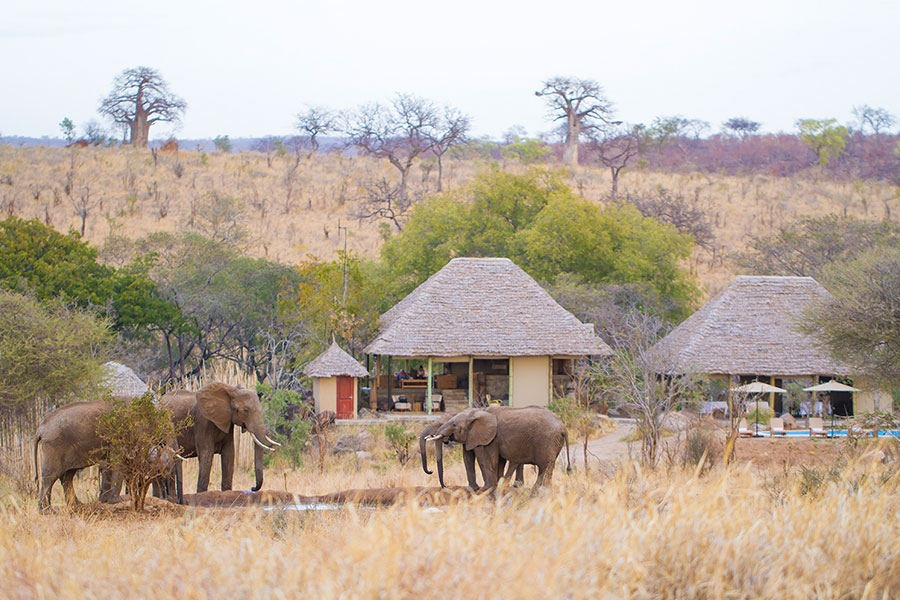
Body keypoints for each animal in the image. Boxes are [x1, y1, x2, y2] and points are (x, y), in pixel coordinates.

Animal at [428, 404, 568, 492]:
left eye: (454, 424)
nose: (444, 486)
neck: (478, 412)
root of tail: (563, 427)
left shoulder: (490, 438)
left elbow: (486, 459)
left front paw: (485, 489)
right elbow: (472, 458)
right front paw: (479, 488)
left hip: (547, 441)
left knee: (545, 467)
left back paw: (539, 490)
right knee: (546, 467)